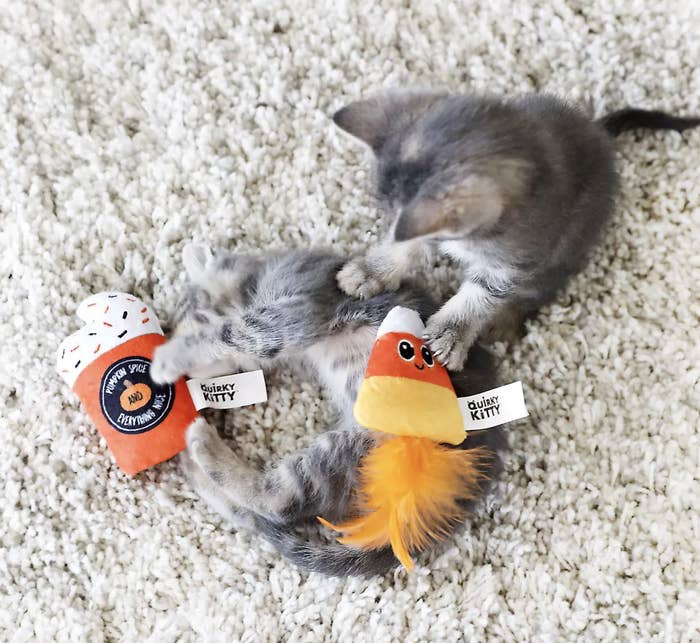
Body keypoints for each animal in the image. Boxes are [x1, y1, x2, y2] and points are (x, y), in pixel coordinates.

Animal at [150, 244, 506, 576]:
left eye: (182, 320)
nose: (184, 380)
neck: (257, 276)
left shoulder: (298, 309)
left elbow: (233, 333)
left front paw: (168, 357)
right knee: (259, 514)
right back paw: (192, 463)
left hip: (348, 449)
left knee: (279, 501)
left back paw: (200, 444)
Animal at [334, 93, 700, 370]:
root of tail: (598, 131)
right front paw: (371, 270)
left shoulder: (515, 259)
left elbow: (480, 295)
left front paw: (451, 334)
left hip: (567, 247)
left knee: (541, 289)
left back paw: (505, 319)